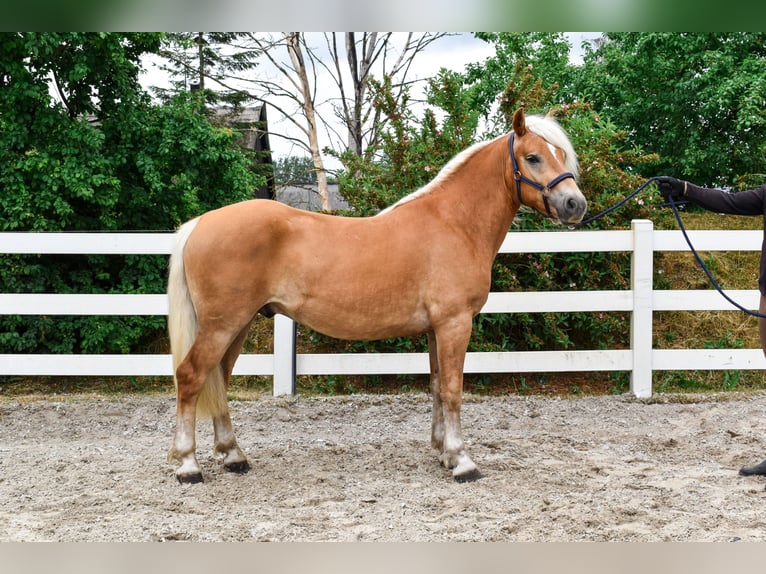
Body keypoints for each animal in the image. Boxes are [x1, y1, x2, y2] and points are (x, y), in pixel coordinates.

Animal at [168, 109, 588, 486]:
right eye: (533, 157)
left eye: (561, 155)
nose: (575, 205)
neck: (454, 223)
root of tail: (199, 224)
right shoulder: (454, 323)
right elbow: (453, 389)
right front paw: (463, 461)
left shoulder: (436, 329)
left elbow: (437, 387)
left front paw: (443, 453)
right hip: (222, 324)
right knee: (191, 377)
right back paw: (188, 466)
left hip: (237, 324)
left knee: (219, 380)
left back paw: (233, 456)